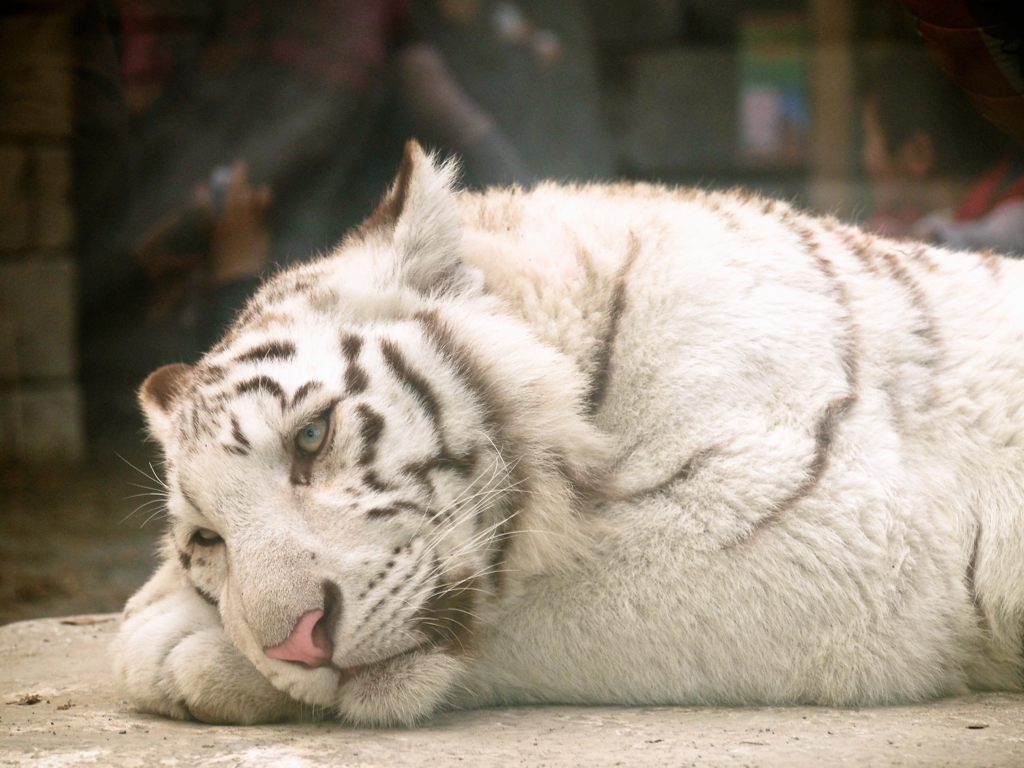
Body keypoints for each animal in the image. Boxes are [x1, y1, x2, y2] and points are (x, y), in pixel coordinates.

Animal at [111, 139, 1024, 727]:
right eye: (206, 541)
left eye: (310, 437)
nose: (294, 645)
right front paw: (169, 612)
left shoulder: (835, 527)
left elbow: (539, 601)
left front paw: (178, 647)